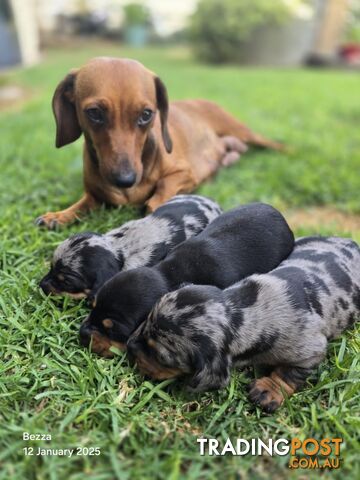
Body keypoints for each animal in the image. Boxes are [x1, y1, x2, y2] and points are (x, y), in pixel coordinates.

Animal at [35, 56, 282, 229]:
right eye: (94, 113)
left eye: (146, 114)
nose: (125, 180)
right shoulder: (95, 196)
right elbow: (81, 204)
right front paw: (59, 215)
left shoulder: (184, 173)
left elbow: (161, 189)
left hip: (245, 132)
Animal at [127, 236, 360, 412]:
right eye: (146, 320)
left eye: (160, 357)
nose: (129, 347)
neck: (243, 309)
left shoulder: (310, 352)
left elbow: (288, 373)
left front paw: (269, 390)